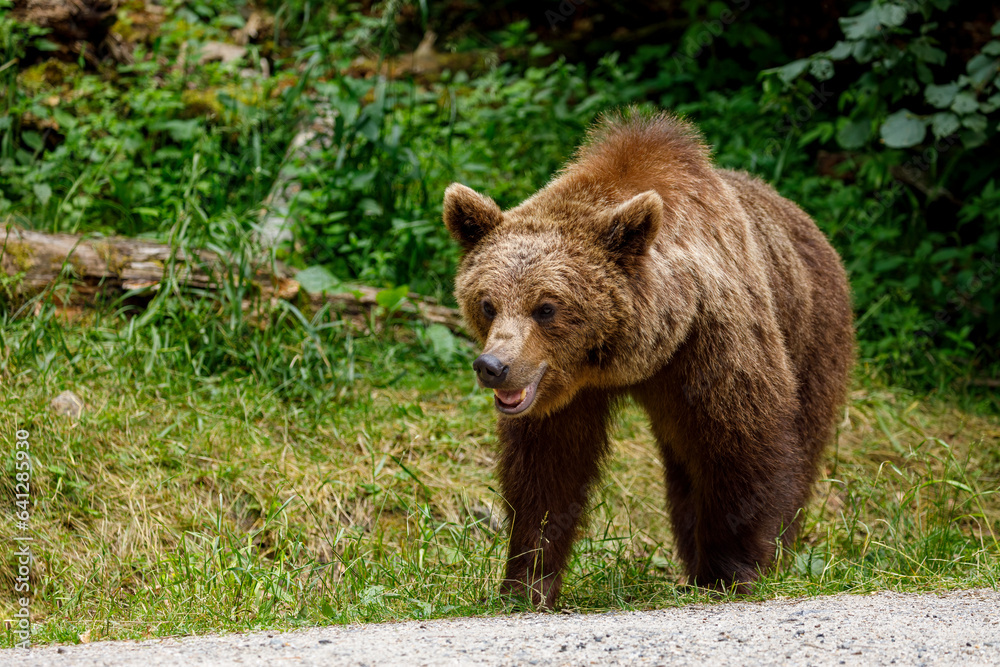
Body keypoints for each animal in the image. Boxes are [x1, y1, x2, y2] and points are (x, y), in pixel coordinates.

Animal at [444, 107, 852, 608]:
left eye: (547, 307)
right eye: (487, 303)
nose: (494, 367)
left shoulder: (712, 343)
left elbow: (742, 445)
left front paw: (732, 573)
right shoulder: (561, 396)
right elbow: (547, 471)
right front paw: (525, 584)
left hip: (813, 335)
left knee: (798, 446)